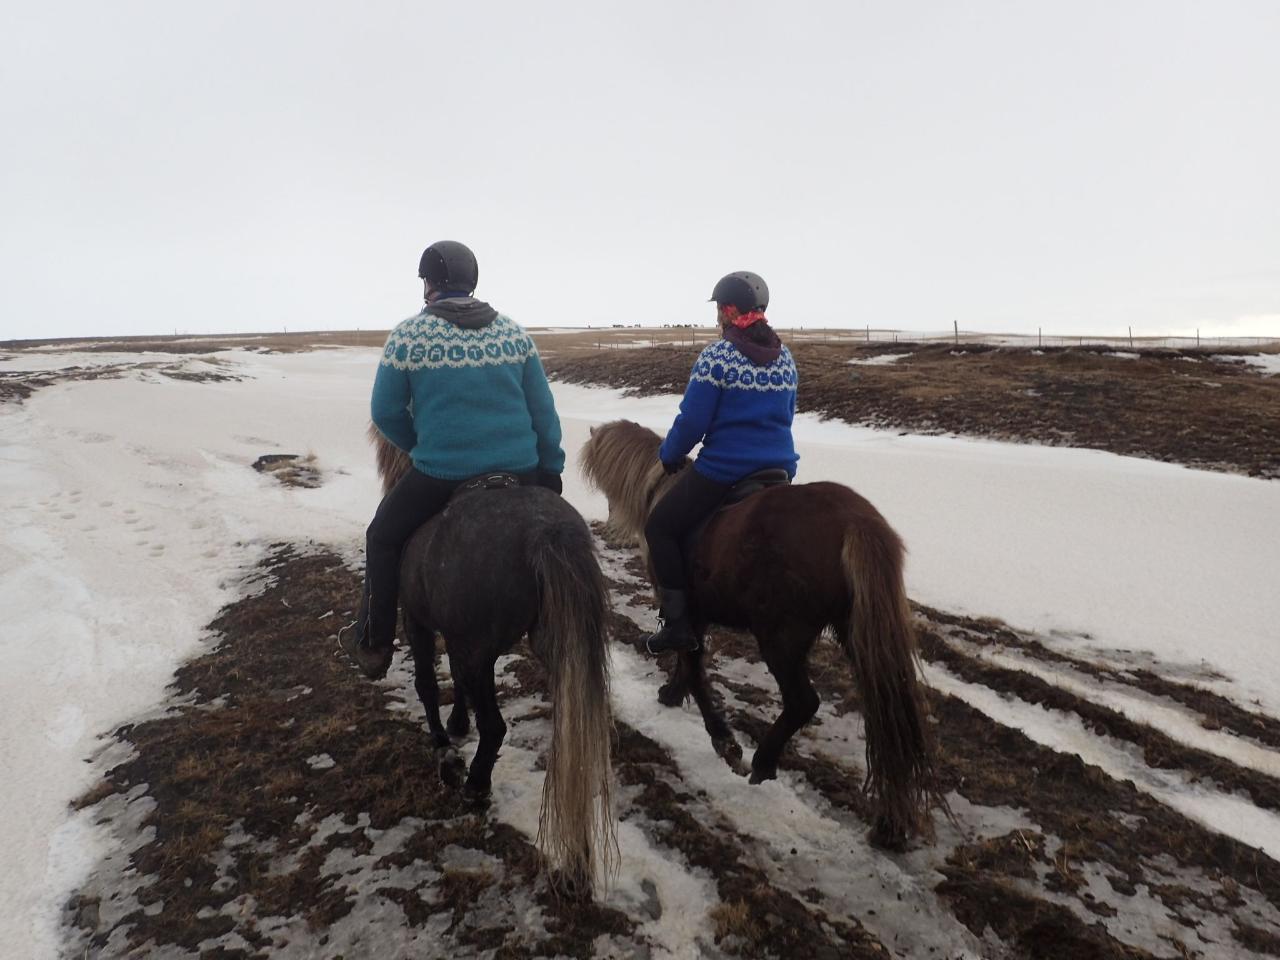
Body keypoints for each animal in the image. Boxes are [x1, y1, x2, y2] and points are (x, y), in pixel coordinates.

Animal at [371, 427, 614, 896]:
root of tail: (546, 532)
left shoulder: (419, 623)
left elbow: (428, 685)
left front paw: (443, 745)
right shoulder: (464, 645)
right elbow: (458, 683)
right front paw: (457, 724)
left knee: (496, 727)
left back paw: (476, 786)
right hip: (559, 651)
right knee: (574, 737)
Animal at [581, 419, 942, 849]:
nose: (608, 522)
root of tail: (856, 522)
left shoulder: (688, 614)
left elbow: (693, 665)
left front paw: (722, 739)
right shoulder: (699, 614)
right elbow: (690, 664)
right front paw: (672, 694)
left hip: (780, 638)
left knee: (804, 702)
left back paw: (764, 762)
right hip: (859, 637)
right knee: (887, 713)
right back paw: (889, 823)